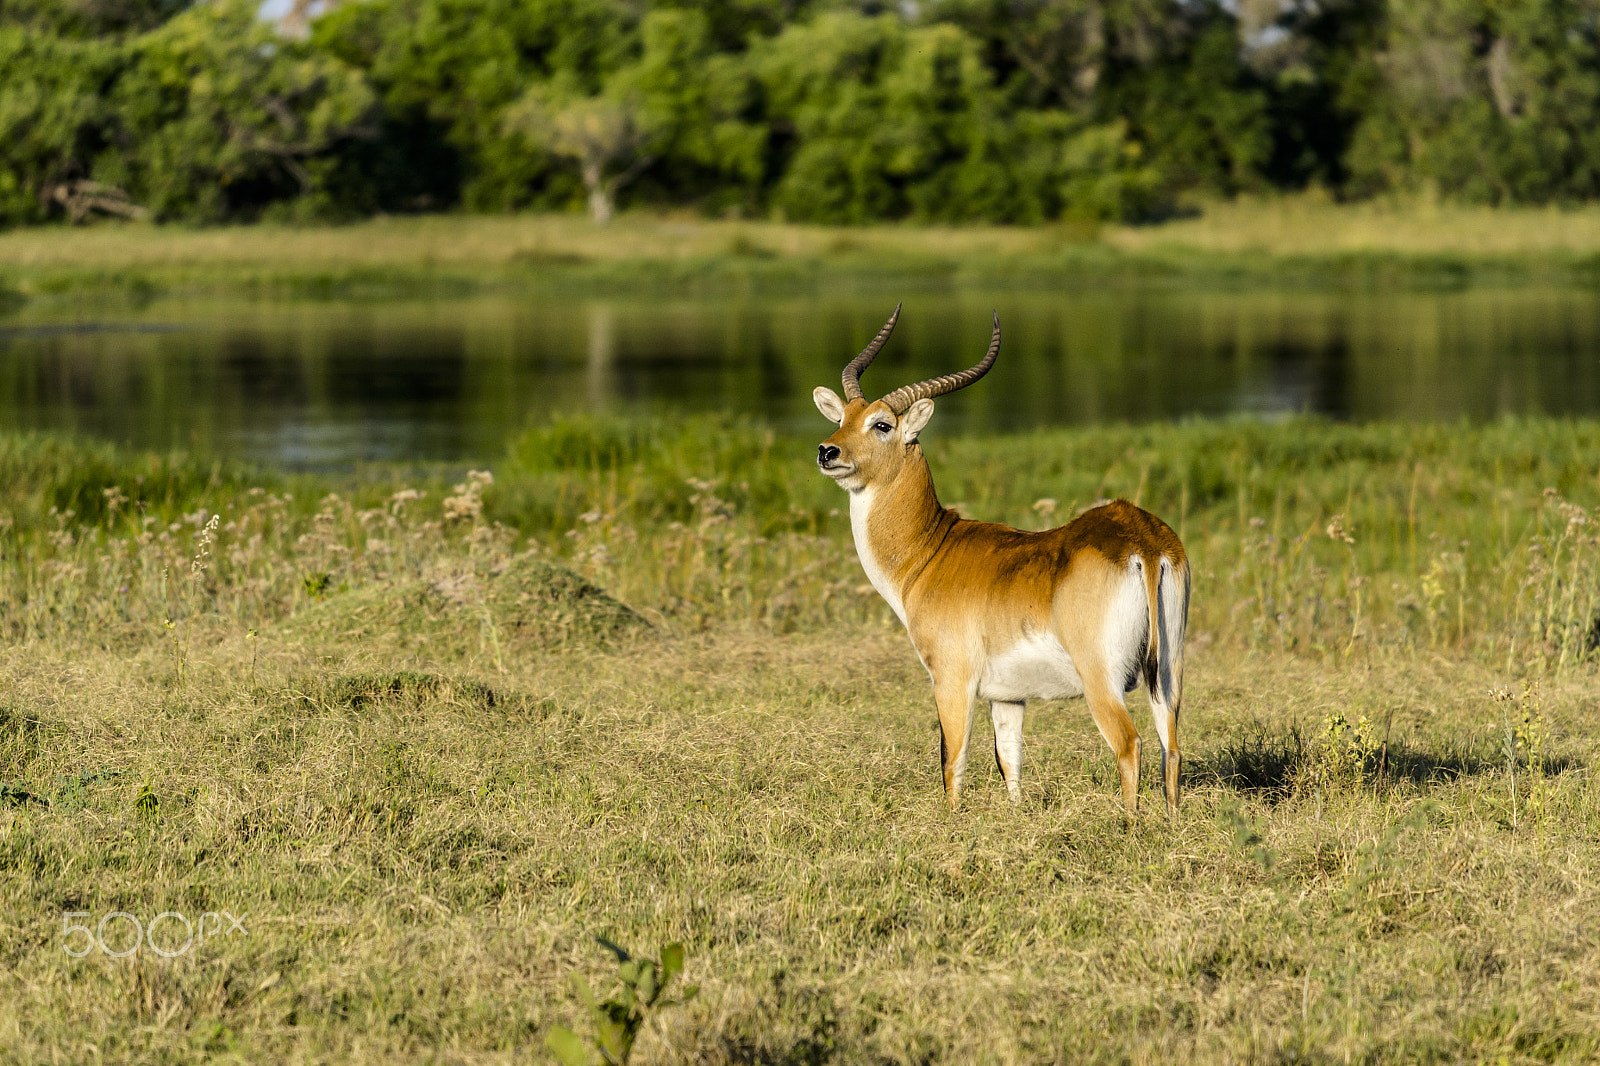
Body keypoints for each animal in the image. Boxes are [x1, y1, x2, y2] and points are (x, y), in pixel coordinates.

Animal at [813, 305, 1191, 816]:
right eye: (844, 417)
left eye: (882, 424)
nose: (827, 451)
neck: (930, 552)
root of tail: (1142, 539)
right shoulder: (1008, 698)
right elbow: (1009, 760)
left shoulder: (952, 679)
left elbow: (953, 761)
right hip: (1168, 671)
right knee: (1171, 746)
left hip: (1102, 679)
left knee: (1129, 743)